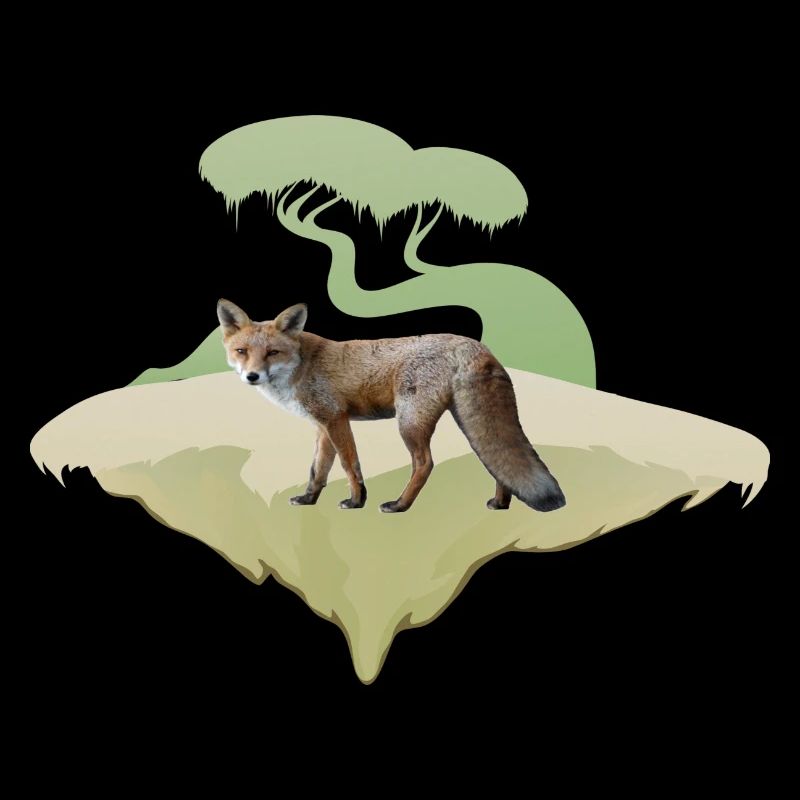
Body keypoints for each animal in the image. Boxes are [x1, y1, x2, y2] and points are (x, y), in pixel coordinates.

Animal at [217, 299, 566, 514]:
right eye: (241, 351)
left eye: (272, 353)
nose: (252, 376)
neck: (302, 366)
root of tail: (477, 346)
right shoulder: (322, 426)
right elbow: (318, 469)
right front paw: (308, 499)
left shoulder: (336, 419)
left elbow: (349, 465)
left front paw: (356, 501)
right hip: (467, 421)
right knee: (494, 461)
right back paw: (500, 503)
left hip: (409, 422)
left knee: (425, 464)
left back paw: (400, 505)